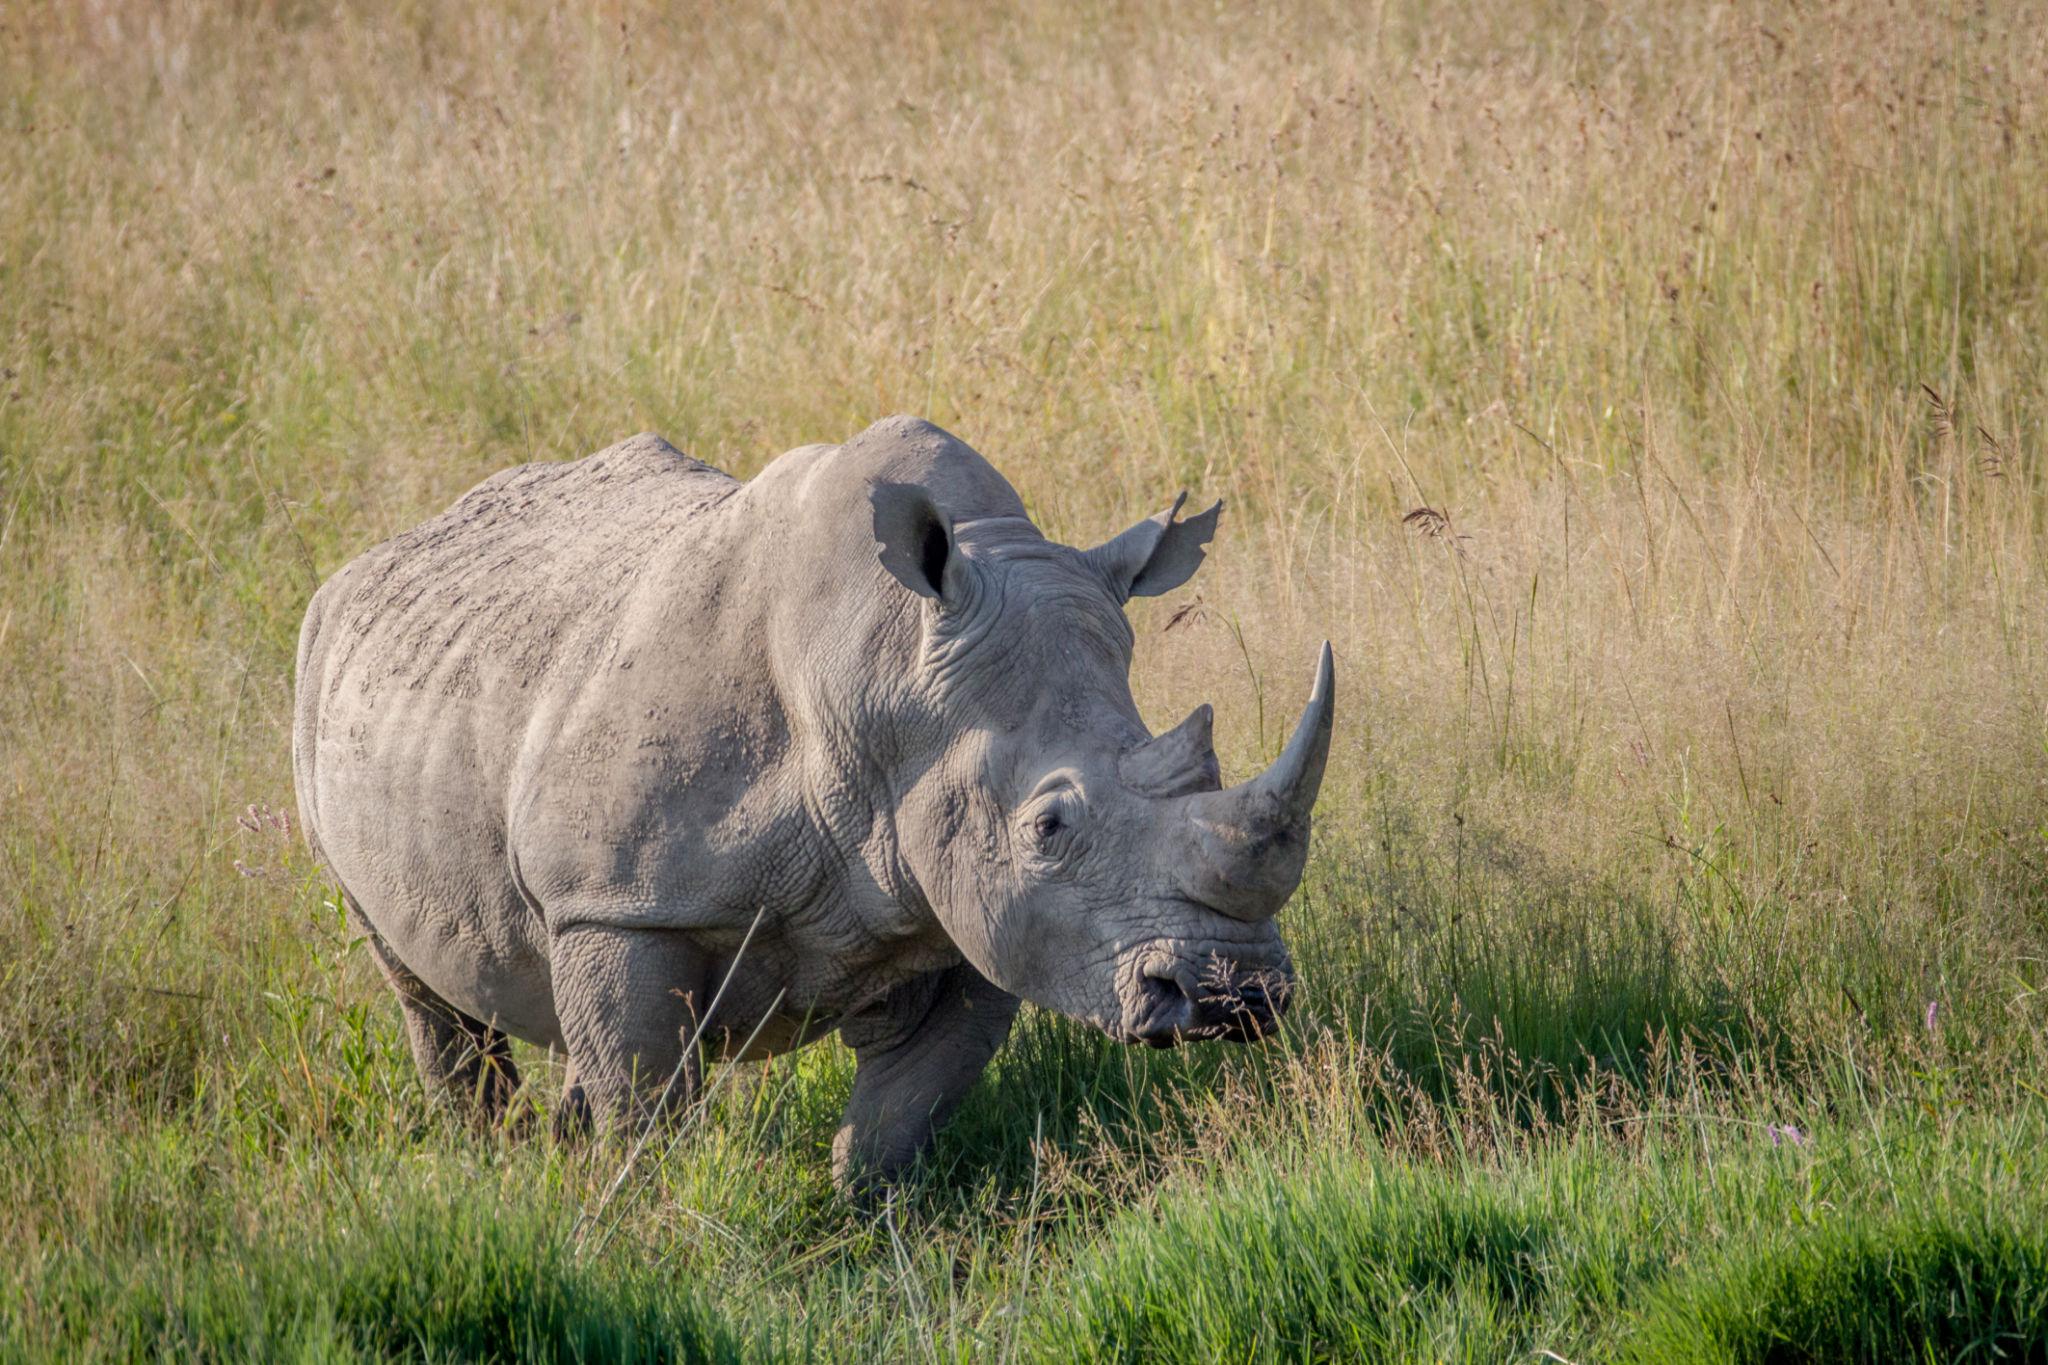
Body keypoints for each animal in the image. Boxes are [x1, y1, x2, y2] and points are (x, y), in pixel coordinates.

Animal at [292, 415, 1332, 1188]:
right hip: (322, 671)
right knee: (421, 986)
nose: (1234, 995)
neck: (884, 681)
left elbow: (899, 1116)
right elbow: (647, 1105)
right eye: (1048, 826)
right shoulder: (617, 902)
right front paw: (651, 1220)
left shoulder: (976, 914)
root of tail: (383, 549)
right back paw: (491, 1164)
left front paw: (866, 1224)